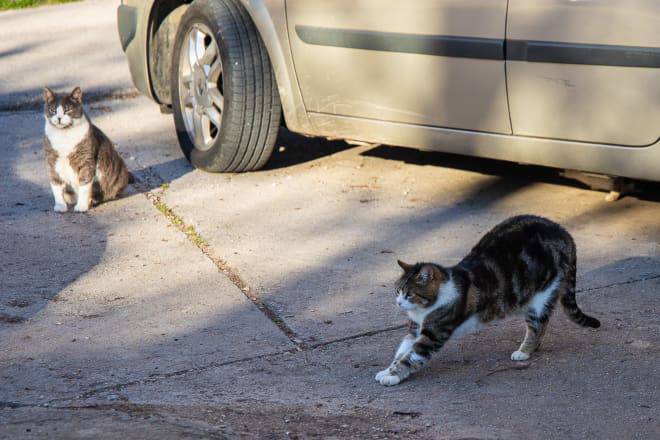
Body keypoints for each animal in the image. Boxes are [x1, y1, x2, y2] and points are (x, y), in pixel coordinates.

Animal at [376, 215, 600, 386]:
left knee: (538, 326)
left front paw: (393, 376)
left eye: (410, 294)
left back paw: (524, 351)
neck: (425, 308)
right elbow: (402, 351)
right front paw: (388, 370)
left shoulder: (434, 333)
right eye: (397, 291)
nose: (398, 303)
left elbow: (412, 356)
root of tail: (564, 234)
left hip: (542, 294)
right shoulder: (415, 329)